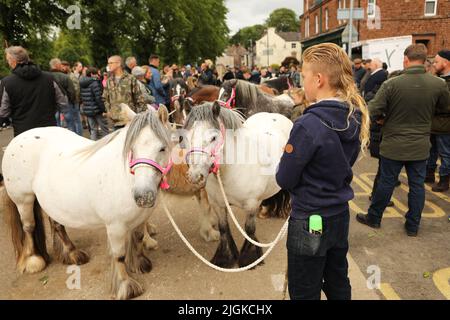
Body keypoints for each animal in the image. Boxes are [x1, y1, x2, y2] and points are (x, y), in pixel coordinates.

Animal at [1, 106, 172, 298]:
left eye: (162, 148)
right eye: (131, 149)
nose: (143, 196)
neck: (126, 178)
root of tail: (16, 139)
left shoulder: (139, 218)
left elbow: (138, 237)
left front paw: (139, 263)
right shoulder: (115, 226)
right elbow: (119, 255)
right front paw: (126, 286)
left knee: (57, 225)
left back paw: (71, 253)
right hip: (24, 200)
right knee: (28, 227)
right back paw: (34, 260)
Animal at [183, 102, 292, 268]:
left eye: (213, 137)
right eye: (186, 137)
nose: (195, 176)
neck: (232, 170)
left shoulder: (252, 204)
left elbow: (249, 229)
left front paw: (249, 258)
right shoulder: (218, 204)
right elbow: (223, 228)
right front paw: (225, 257)